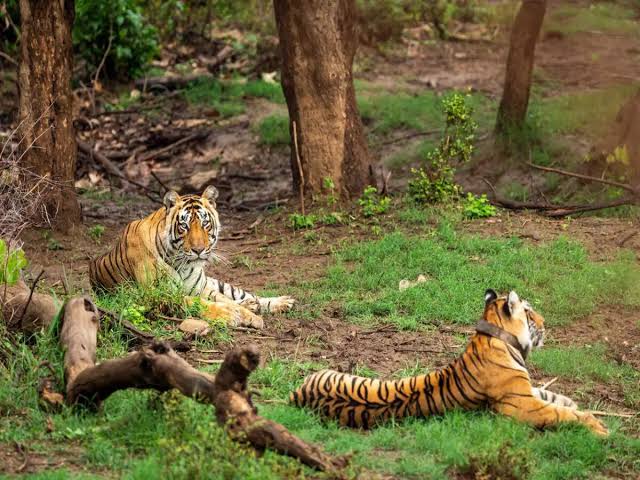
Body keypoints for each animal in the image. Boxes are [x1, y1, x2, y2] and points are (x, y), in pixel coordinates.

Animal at [89, 186, 295, 328]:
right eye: (184, 226)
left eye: (205, 223)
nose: (199, 250)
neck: (183, 264)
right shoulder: (159, 295)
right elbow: (206, 304)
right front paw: (232, 315)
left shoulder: (200, 288)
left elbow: (224, 300)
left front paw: (250, 316)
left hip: (213, 283)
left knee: (242, 295)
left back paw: (280, 302)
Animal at [290, 289, 608, 436]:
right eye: (529, 312)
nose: (545, 323)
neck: (497, 336)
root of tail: (297, 395)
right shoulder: (521, 405)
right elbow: (560, 413)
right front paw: (597, 426)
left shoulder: (526, 391)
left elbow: (553, 396)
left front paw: (573, 403)